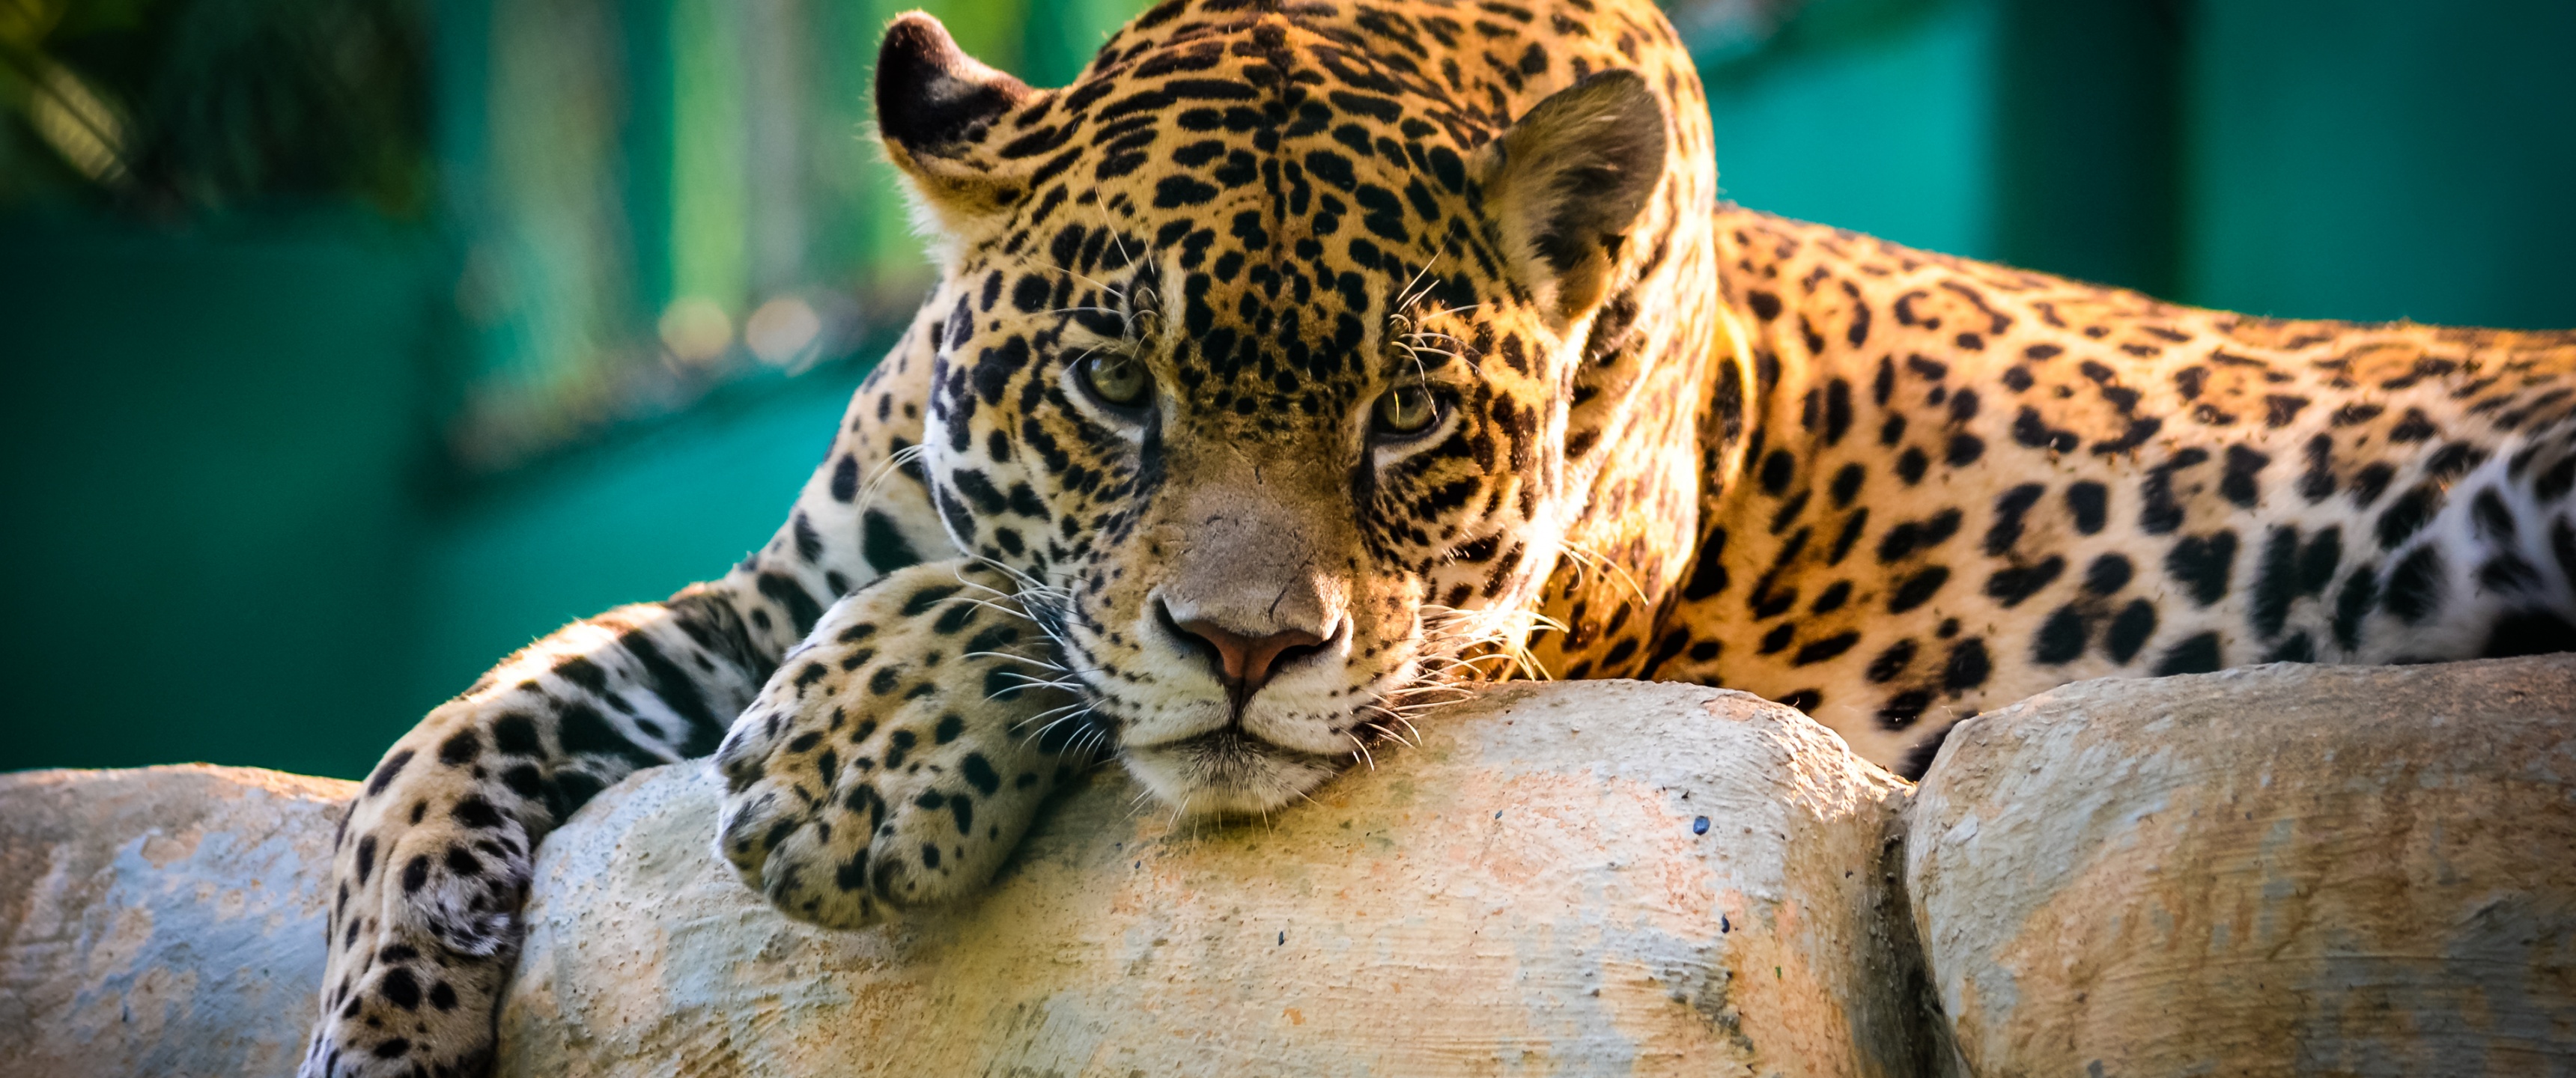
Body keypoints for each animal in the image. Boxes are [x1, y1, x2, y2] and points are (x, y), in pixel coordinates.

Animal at [297, 0, 2576, 1071]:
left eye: (1404, 420)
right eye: (1113, 385)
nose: (1246, 649)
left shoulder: (1519, 618)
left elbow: (1018, 621)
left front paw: (853, 775)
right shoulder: (756, 594)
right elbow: (451, 734)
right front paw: (378, 1021)